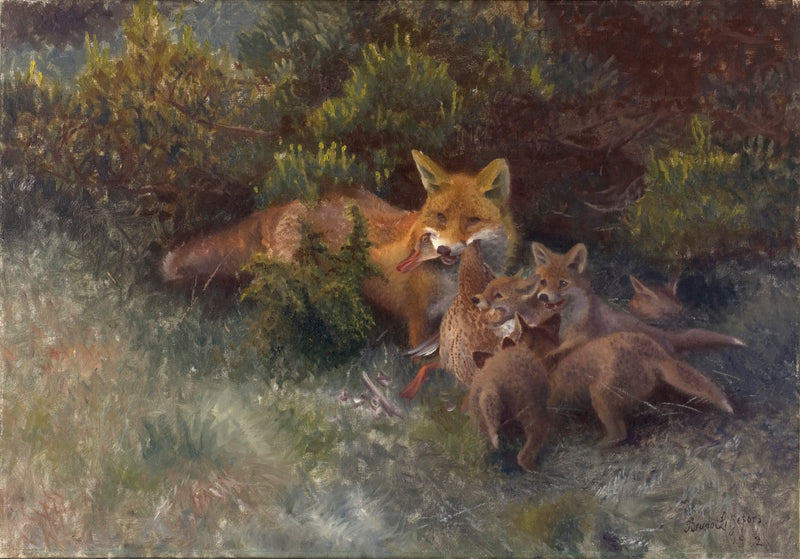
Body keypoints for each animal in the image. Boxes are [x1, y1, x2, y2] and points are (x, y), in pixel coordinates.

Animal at [161, 150, 515, 347]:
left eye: (472, 221)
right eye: (441, 217)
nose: (442, 251)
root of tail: (291, 202)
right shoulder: (419, 320)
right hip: (292, 280)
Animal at [529, 242, 745, 362]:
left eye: (563, 283)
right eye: (543, 282)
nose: (542, 297)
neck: (570, 319)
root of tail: (666, 335)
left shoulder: (583, 337)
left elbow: (557, 352)